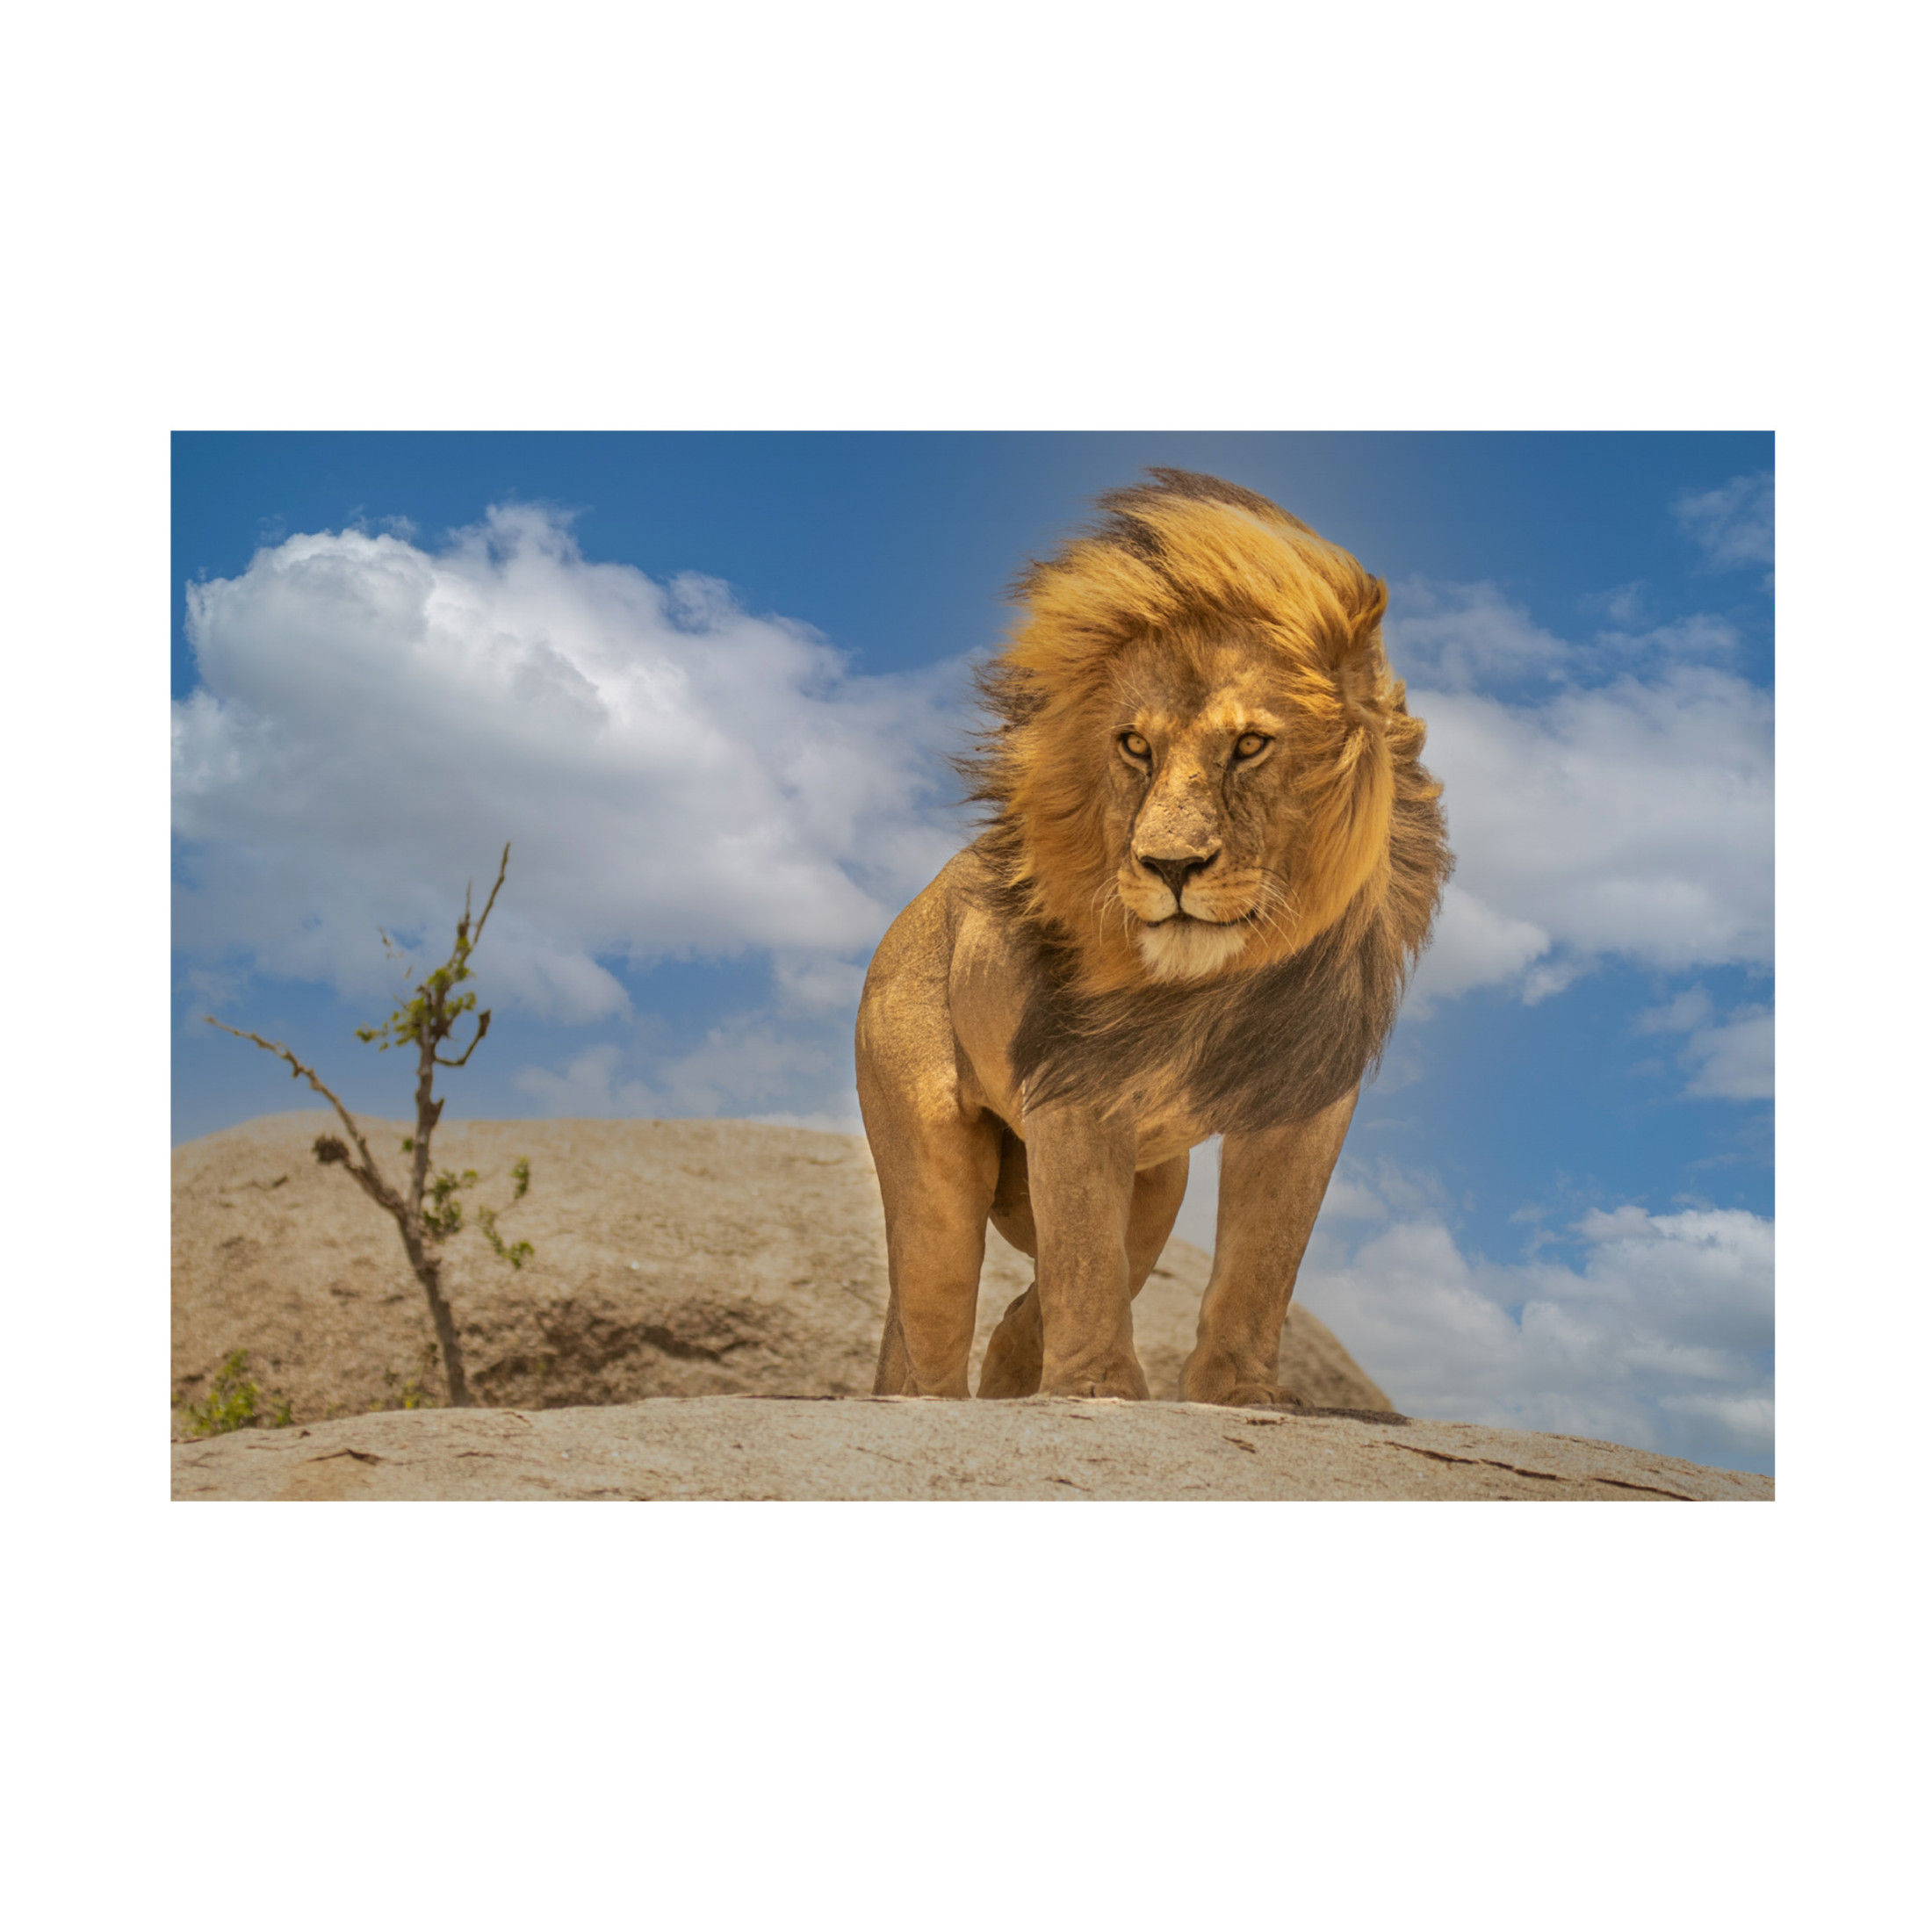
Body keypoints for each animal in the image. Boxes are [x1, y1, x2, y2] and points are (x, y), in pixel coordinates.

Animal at [856, 469, 1451, 1405]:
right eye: (1134, 745)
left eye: (1251, 744)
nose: (1170, 865)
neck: (1219, 984)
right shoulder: (1075, 1087)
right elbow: (1084, 1251)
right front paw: (1096, 1390)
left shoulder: (1307, 1097)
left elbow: (1261, 1257)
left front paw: (1237, 1394)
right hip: (931, 1157)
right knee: (933, 1310)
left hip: (1158, 1179)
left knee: (1053, 1291)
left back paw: (1017, 1370)